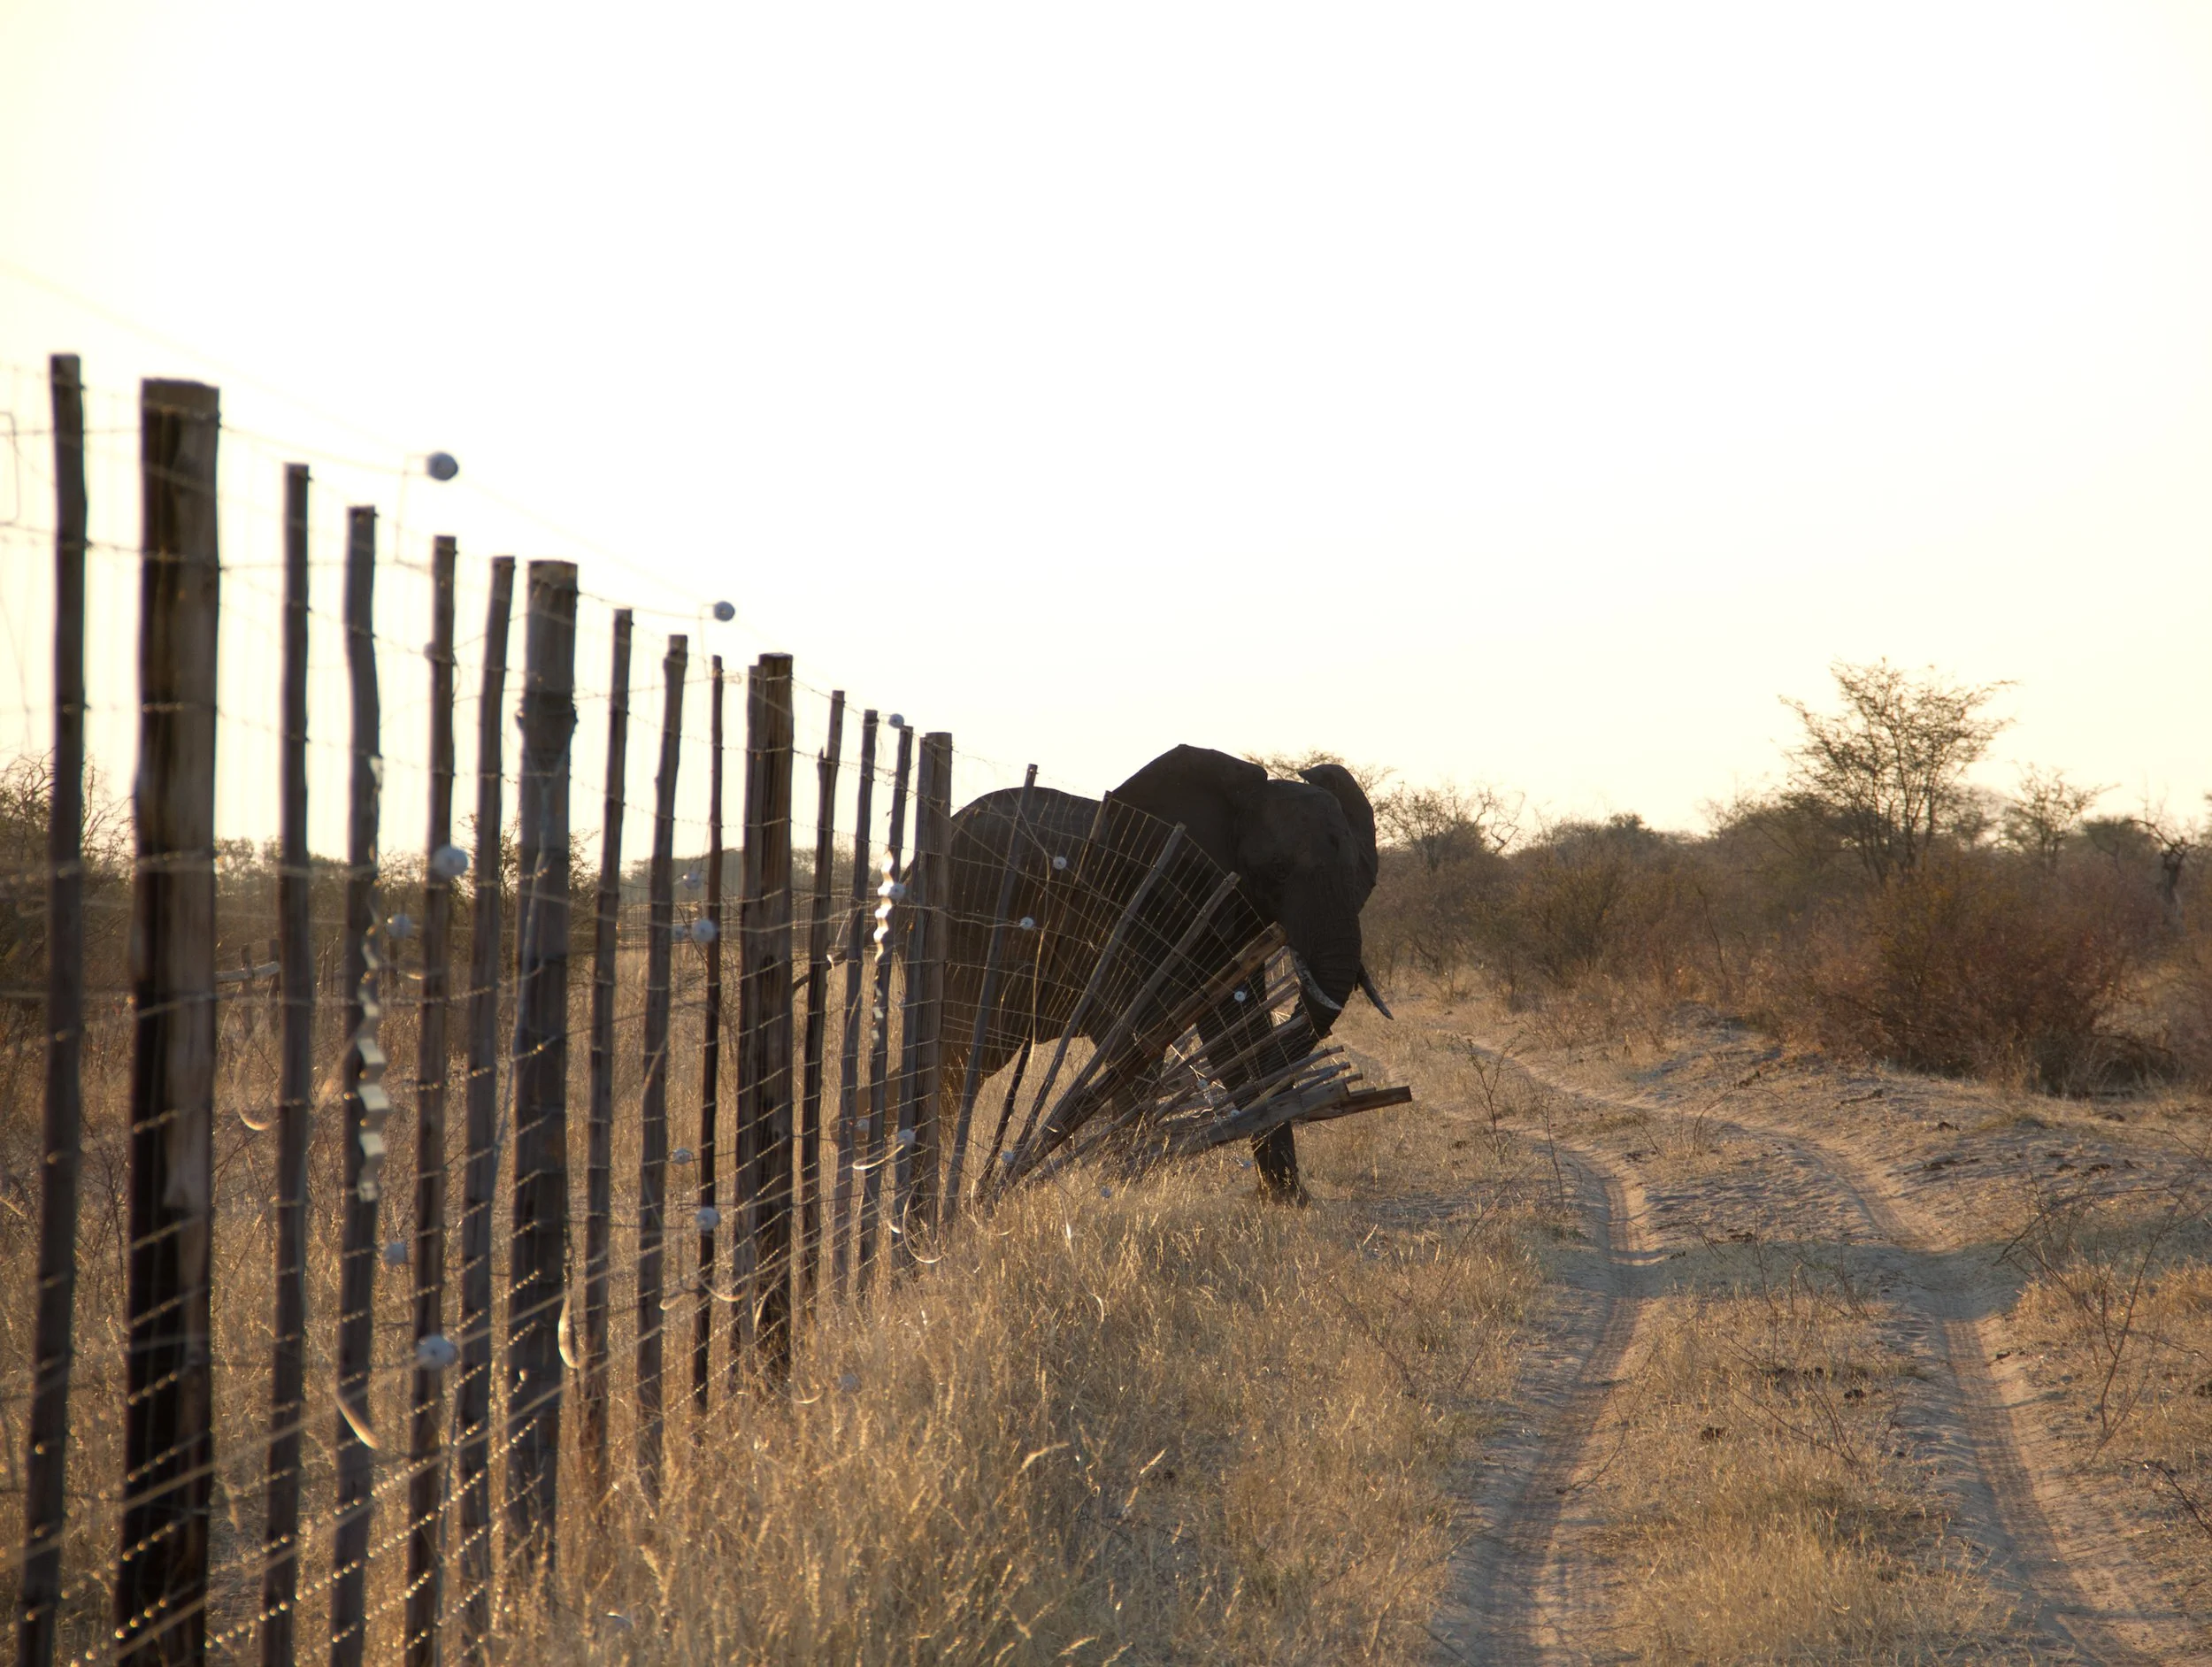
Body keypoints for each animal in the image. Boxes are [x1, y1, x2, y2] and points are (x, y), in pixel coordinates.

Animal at [933, 744, 1380, 1203]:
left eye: (1360, 875)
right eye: (1278, 870)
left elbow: (1238, 1038)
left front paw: (1286, 1200)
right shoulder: (1129, 908)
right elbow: (1135, 1041)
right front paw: (1122, 1188)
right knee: (961, 1055)